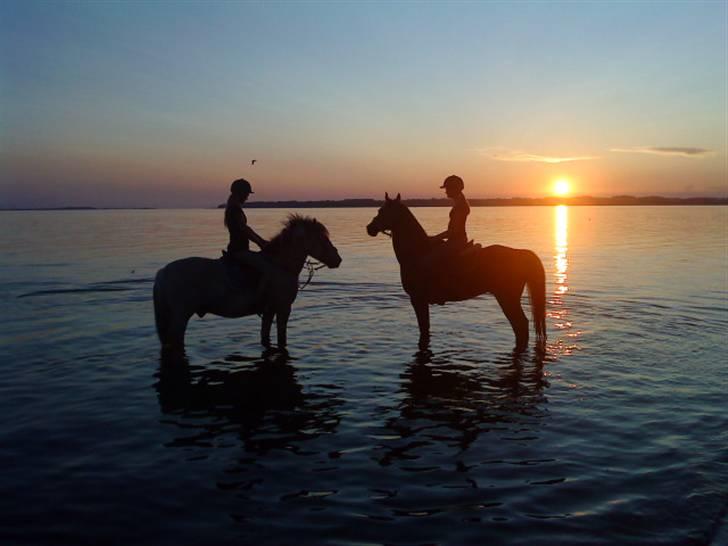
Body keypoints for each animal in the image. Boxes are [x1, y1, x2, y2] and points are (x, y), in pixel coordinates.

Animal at [154, 215, 342, 350]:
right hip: (180, 315)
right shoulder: (283, 308)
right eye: (322, 239)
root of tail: (163, 272)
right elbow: (282, 337)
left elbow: (265, 334)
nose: (337, 259)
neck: (281, 265)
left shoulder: (270, 310)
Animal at [366, 193, 548, 350]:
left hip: (507, 299)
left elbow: (424, 329)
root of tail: (520, 253)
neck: (417, 253)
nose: (370, 228)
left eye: (382, 211)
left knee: (521, 326)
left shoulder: (418, 299)